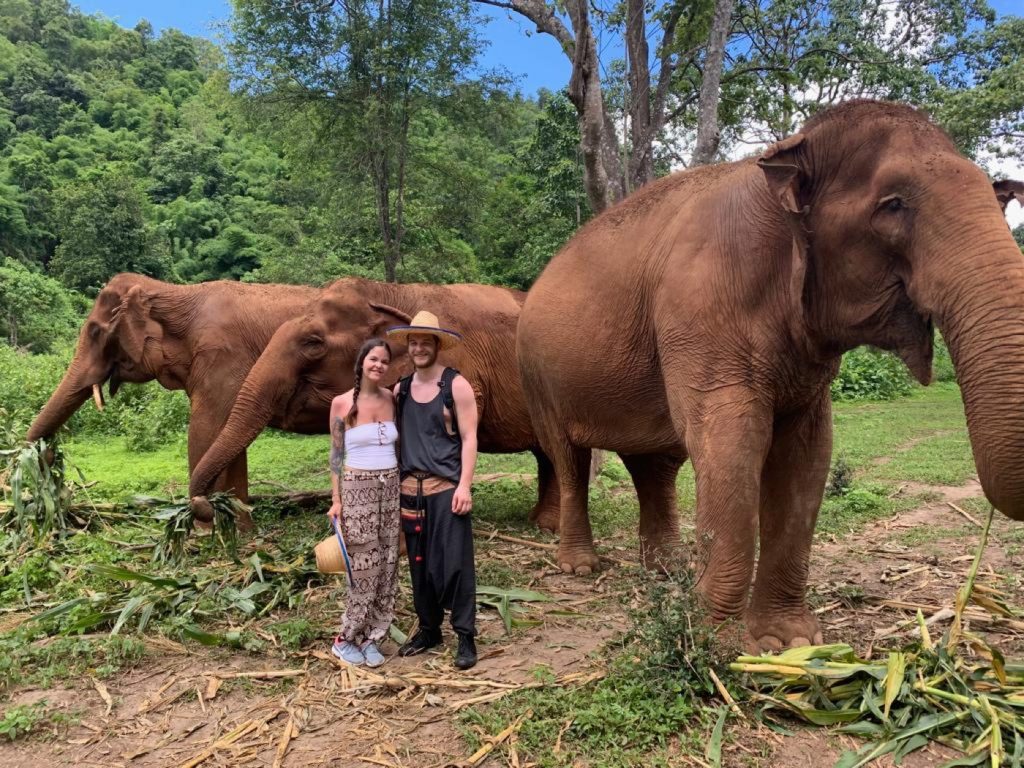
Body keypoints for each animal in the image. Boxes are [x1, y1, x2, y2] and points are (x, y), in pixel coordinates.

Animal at [191, 276, 561, 524]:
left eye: (313, 343)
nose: (206, 506)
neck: (386, 291)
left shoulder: (464, 368)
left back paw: (545, 526)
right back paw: (538, 520)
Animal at [516, 99, 1024, 651]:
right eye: (893, 205)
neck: (785, 154)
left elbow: (807, 453)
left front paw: (793, 642)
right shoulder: (702, 313)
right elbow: (733, 441)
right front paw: (722, 643)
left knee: (655, 464)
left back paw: (669, 573)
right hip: (539, 376)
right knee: (568, 458)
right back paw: (581, 567)